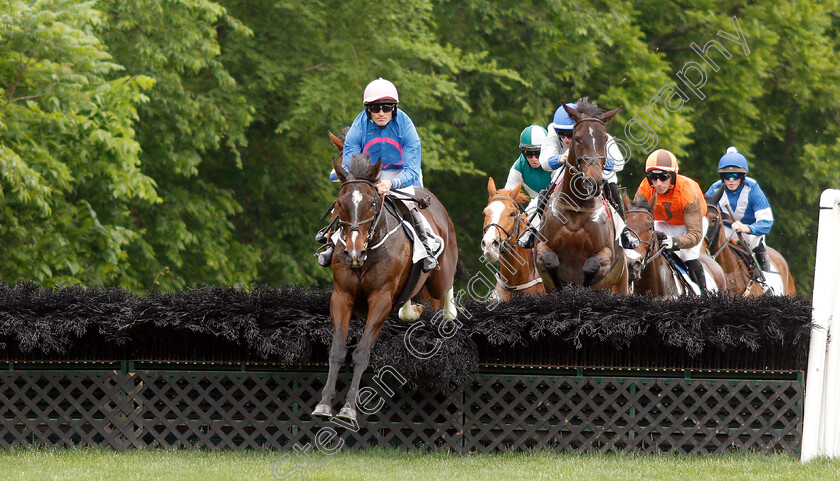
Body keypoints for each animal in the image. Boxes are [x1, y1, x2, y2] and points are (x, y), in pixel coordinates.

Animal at [312, 152, 460, 422]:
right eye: (340, 203)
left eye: (372, 204)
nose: (353, 252)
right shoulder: (342, 296)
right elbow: (337, 350)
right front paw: (324, 404)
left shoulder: (381, 300)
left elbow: (361, 353)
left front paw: (349, 409)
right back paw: (411, 311)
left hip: (441, 275)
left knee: (444, 291)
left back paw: (448, 314)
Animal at [536, 100, 628, 294]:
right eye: (576, 137)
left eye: (605, 139)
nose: (593, 181)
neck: (576, 208)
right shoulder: (541, 248)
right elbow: (550, 260)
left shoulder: (606, 255)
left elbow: (591, 266)